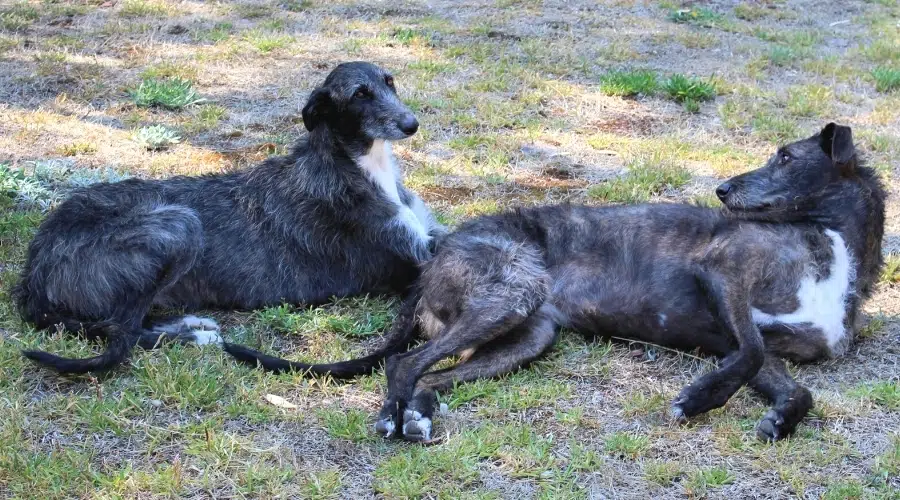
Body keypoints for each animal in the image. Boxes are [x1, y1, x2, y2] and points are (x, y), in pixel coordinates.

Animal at [15, 61, 444, 376]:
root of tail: (34, 270)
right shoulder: (415, 255)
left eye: (389, 82)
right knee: (122, 329)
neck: (357, 163)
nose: (411, 124)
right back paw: (195, 338)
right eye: (360, 94)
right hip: (179, 224)